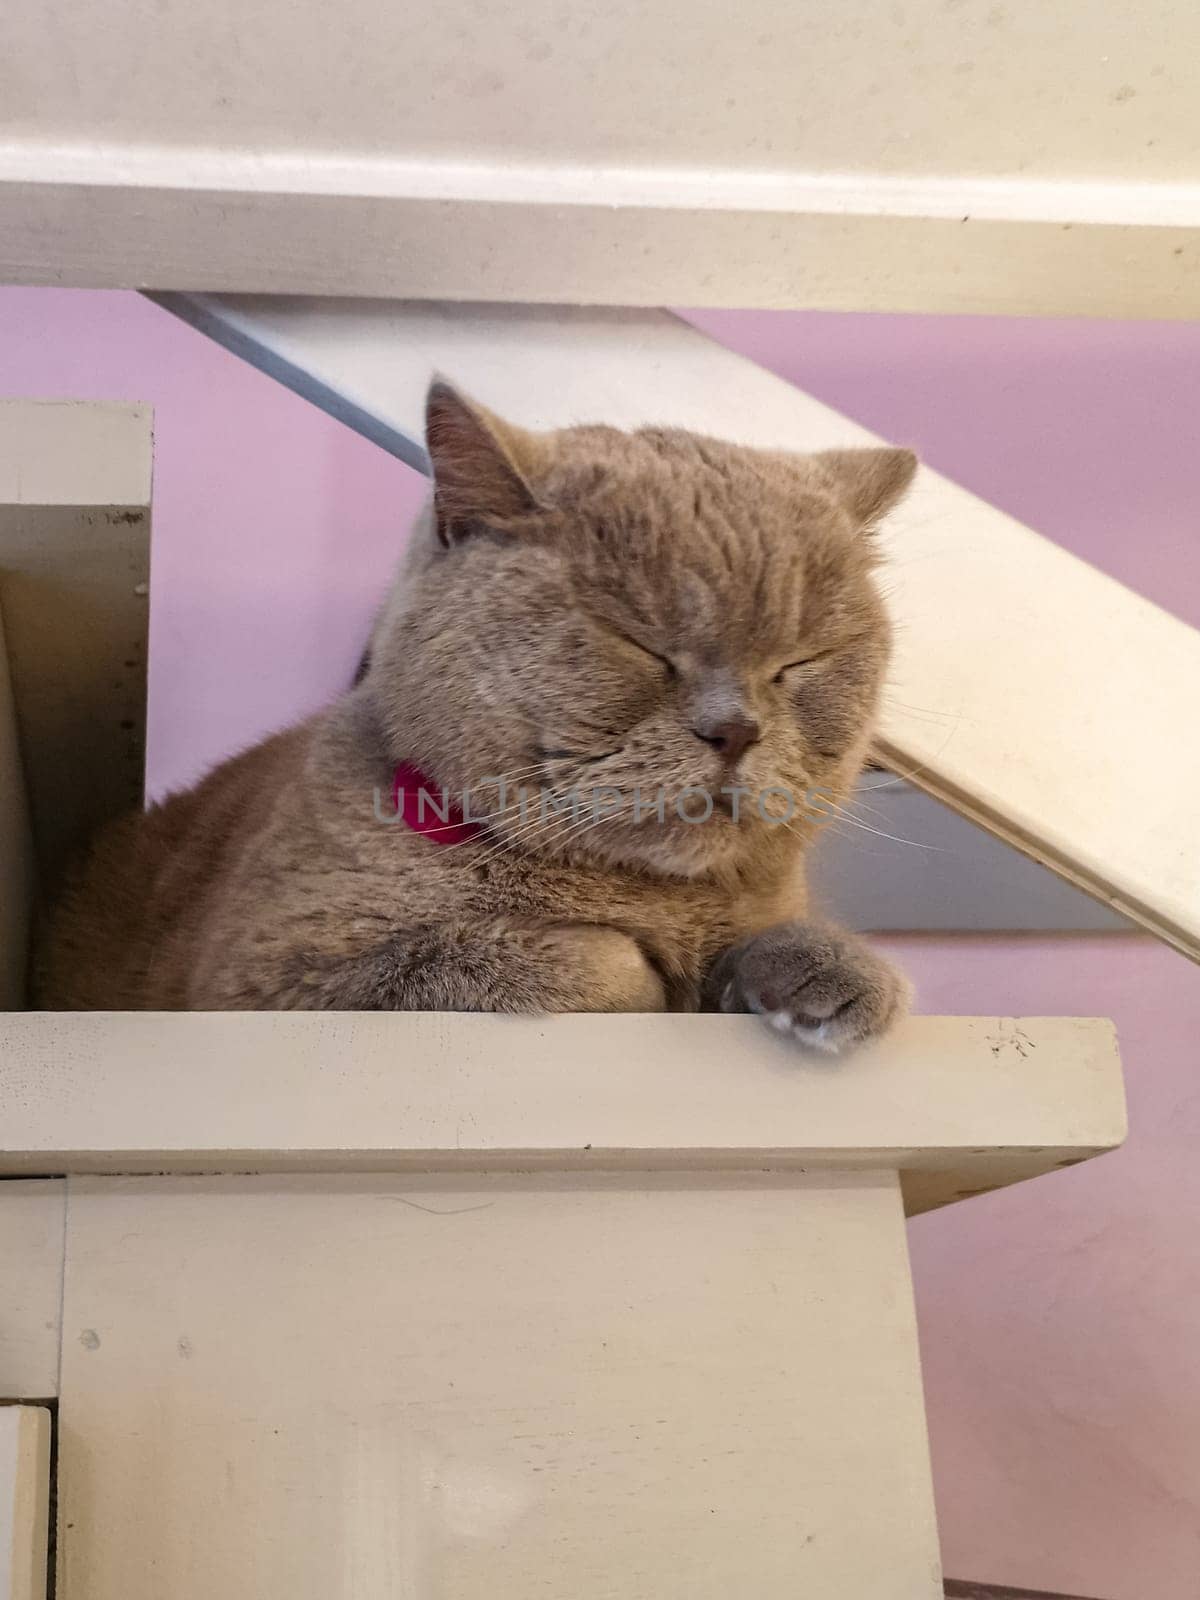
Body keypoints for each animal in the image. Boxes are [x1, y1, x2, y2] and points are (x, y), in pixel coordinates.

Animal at [37, 382, 921, 1056]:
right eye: (636, 641)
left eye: (800, 660)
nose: (736, 728)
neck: (645, 895)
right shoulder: (268, 983)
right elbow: (561, 958)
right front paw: (649, 976)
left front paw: (832, 969)